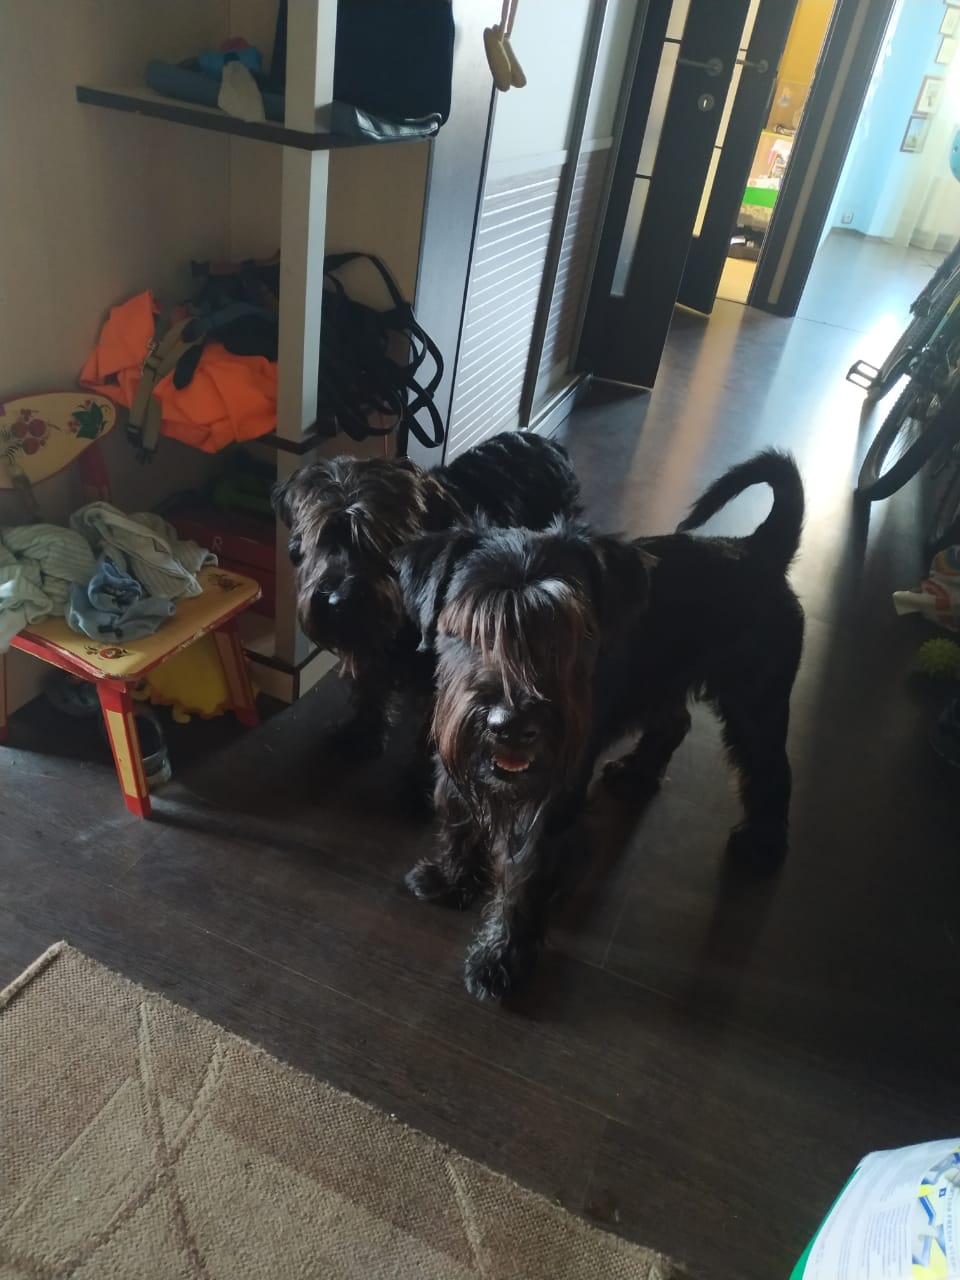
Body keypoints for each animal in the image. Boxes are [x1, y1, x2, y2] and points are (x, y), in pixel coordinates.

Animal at [271, 432, 581, 770]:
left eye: (381, 541)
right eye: (323, 538)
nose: (339, 600)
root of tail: (547, 443)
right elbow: (369, 688)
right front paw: (363, 734)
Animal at [396, 450, 805, 1000]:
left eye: (568, 629)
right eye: (468, 625)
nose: (511, 725)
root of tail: (756, 551)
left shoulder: (549, 807)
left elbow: (526, 880)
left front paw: (501, 961)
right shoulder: (456, 762)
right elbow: (459, 818)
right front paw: (451, 878)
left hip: (756, 704)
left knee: (771, 771)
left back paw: (761, 847)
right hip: (663, 678)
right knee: (673, 723)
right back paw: (636, 775)